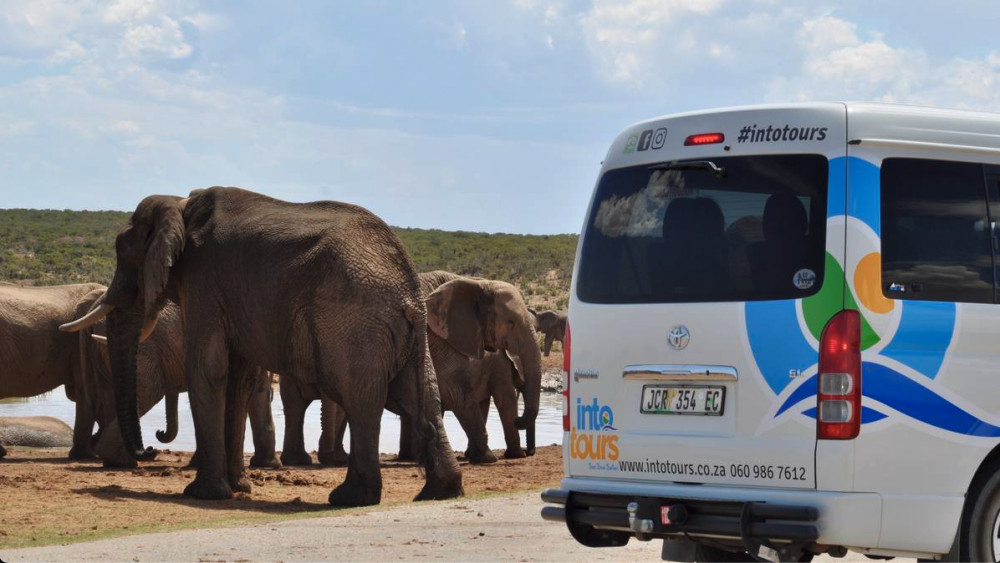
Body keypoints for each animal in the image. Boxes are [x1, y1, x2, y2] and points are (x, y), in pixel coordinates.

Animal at [75, 294, 280, 470]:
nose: (158, 433)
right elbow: (256, 390)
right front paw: (269, 465)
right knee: (148, 391)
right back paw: (123, 461)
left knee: (111, 395)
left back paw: (116, 460)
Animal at [280, 270, 548, 464]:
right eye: (511, 322)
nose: (530, 451)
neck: (477, 283)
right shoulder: (436, 335)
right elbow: (461, 392)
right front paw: (490, 459)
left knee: (297, 404)